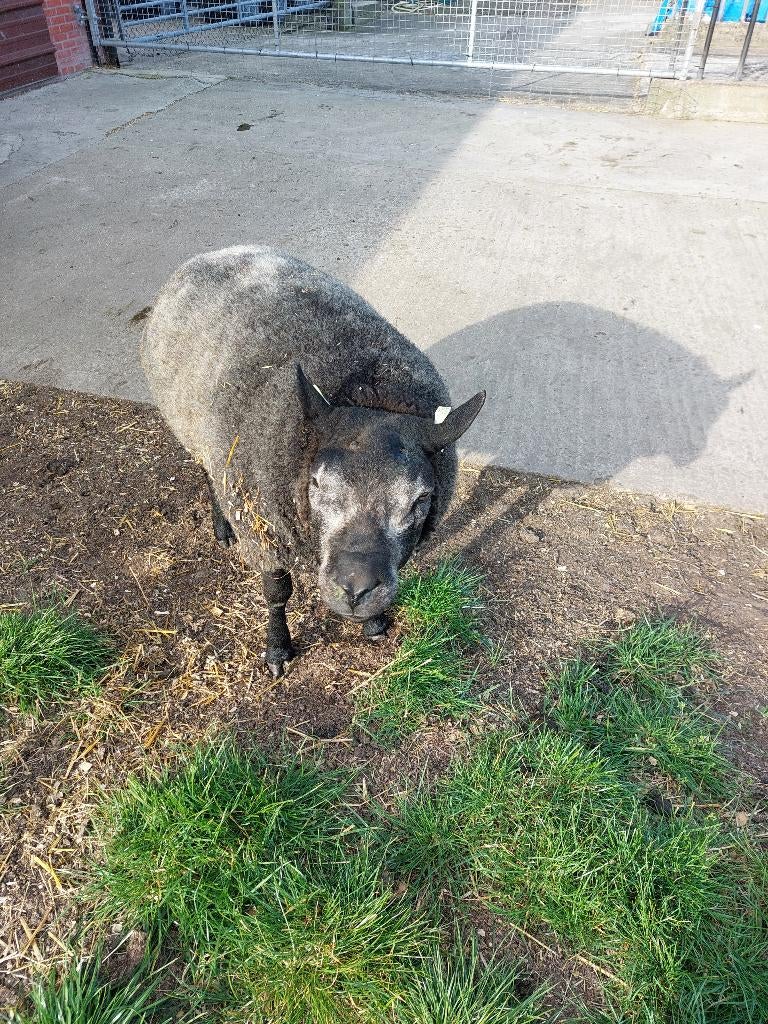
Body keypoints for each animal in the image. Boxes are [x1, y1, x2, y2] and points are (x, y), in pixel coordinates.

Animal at [140, 245, 485, 677]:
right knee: (207, 471)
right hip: (200, 437)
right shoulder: (265, 534)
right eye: (317, 484)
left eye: (421, 500)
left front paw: (373, 622)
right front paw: (277, 649)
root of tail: (217, 252)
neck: (367, 389)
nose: (354, 589)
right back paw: (222, 525)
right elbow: (276, 593)